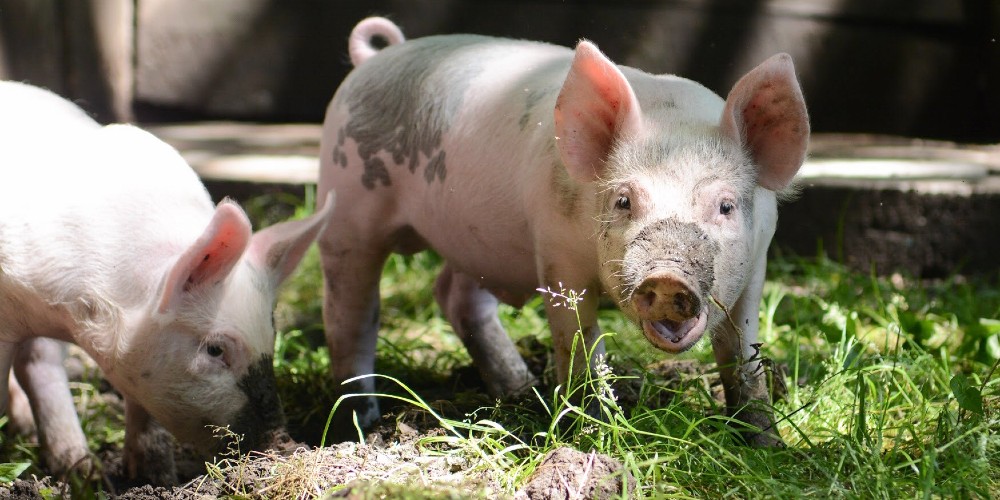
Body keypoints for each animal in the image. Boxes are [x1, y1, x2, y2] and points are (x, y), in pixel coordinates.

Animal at [317, 17, 808, 446]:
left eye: (725, 206)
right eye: (624, 201)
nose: (668, 277)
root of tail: (374, 59)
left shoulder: (757, 262)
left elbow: (742, 356)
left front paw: (767, 445)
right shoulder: (555, 254)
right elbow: (579, 345)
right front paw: (595, 436)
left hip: (479, 242)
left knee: (455, 295)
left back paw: (516, 389)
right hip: (346, 207)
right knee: (350, 313)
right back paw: (361, 423)